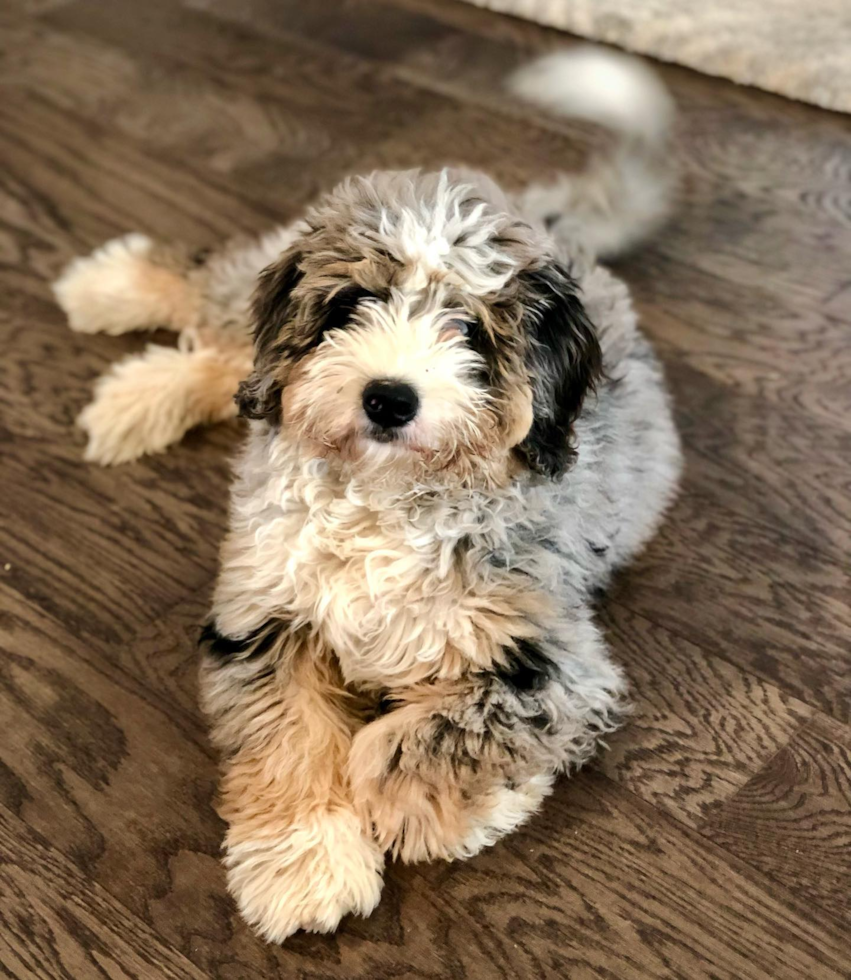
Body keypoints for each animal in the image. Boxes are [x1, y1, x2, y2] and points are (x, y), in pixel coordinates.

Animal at [53, 51, 684, 940]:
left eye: (469, 332)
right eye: (352, 305)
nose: (388, 398)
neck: (384, 501)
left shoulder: (548, 662)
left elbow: (416, 740)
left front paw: (438, 814)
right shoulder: (266, 612)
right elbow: (290, 740)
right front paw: (304, 868)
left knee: (233, 363)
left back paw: (132, 387)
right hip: (260, 309)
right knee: (226, 319)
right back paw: (112, 294)